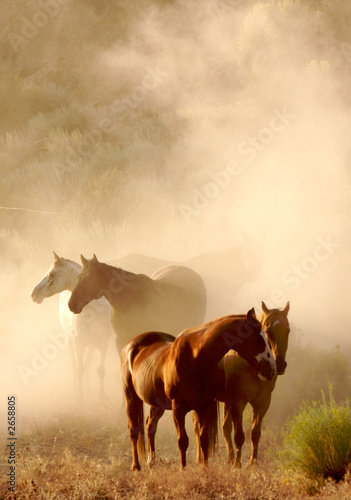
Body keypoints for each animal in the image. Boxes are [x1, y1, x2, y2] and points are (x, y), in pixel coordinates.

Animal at [31, 254, 114, 398]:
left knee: (87, 363)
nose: (33, 294)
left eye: (52, 274)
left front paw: (102, 396)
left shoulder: (102, 342)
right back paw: (77, 388)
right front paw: (80, 396)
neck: (90, 311)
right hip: (71, 342)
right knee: (75, 365)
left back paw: (88, 387)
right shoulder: (78, 343)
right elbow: (79, 369)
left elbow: (100, 370)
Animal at [121, 310, 278, 470]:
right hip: (131, 397)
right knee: (134, 429)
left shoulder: (204, 405)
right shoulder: (178, 408)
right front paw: (183, 469)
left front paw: (204, 468)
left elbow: (204, 439)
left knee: (150, 425)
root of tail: (131, 346)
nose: (272, 369)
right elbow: (183, 440)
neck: (195, 357)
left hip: (157, 404)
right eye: (259, 339)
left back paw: (151, 461)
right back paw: (136, 466)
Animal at [204, 302, 292, 466]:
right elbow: (239, 436)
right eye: (268, 331)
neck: (254, 367)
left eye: (288, 331)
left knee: (225, 427)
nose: (280, 365)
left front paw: (253, 464)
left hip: (227, 401)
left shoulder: (262, 402)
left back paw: (230, 459)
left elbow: (255, 433)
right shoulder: (239, 402)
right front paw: (238, 466)